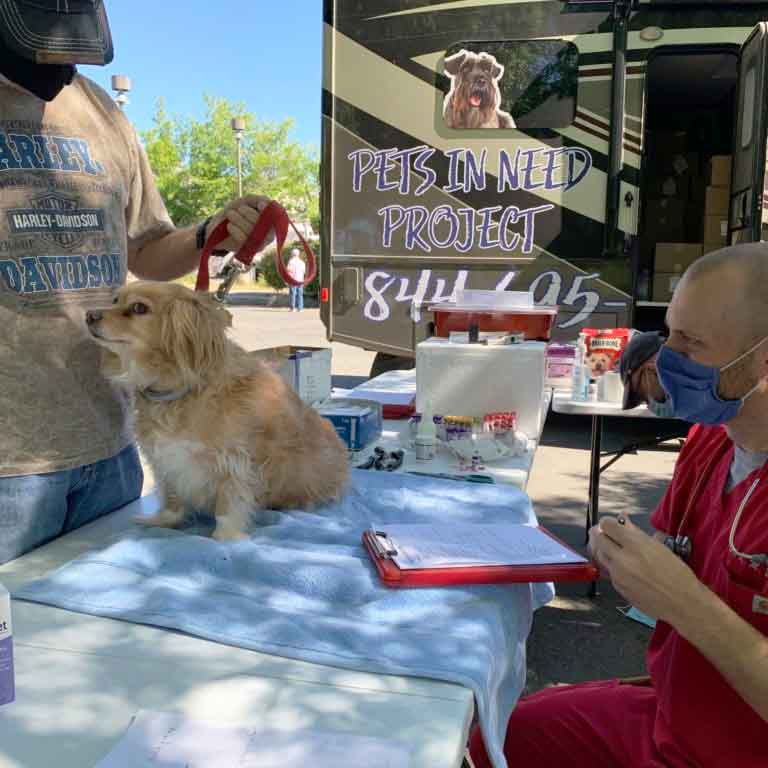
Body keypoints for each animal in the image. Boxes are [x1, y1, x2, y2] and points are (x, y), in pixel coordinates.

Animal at [87, 282, 348, 540]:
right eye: (114, 300)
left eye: (139, 308)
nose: (89, 314)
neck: (178, 392)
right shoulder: (166, 462)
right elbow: (172, 499)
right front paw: (163, 521)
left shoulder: (234, 463)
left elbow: (228, 505)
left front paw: (225, 537)